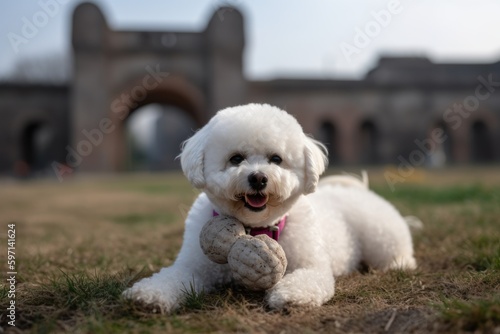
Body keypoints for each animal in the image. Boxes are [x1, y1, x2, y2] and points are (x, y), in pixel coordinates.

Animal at [123, 103, 416, 312]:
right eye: (236, 159)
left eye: (276, 159)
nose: (258, 178)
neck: (254, 229)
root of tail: (358, 189)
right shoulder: (194, 267)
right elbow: (171, 277)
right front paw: (148, 294)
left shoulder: (312, 266)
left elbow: (307, 279)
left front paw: (289, 295)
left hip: (380, 235)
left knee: (396, 252)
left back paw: (400, 264)